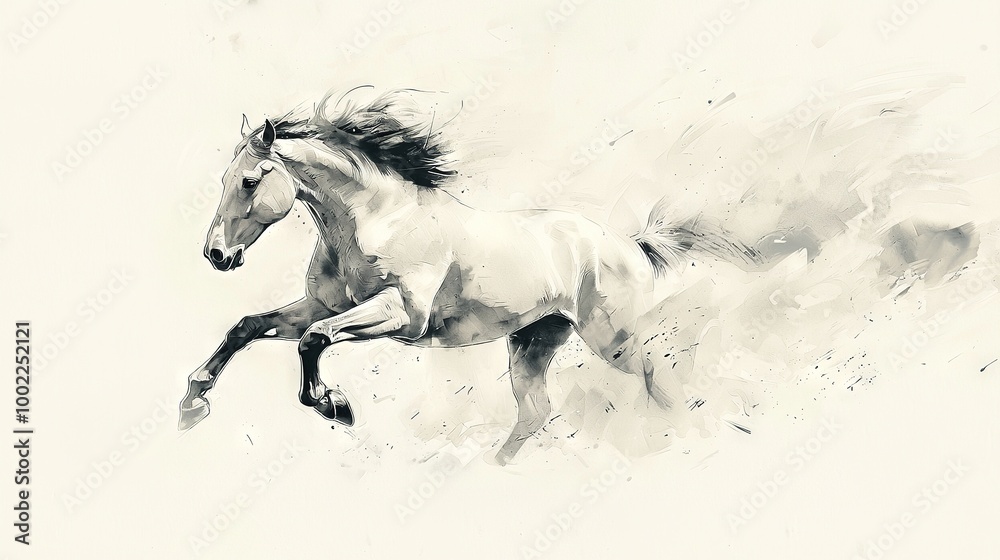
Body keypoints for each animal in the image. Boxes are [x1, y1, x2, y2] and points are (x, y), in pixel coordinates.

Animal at [178, 87, 760, 463]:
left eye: (250, 181)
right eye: (226, 178)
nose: (216, 254)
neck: (381, 220)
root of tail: (629, 244)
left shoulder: (401, 316)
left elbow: (314, 341)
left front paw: (334, 405)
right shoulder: (321, 306)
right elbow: (249, 326)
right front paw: (192, 404)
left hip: (613, 339)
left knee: (657, 379)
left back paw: (679, 439)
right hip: (533, 341)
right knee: (535, 412)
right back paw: (494, 471)